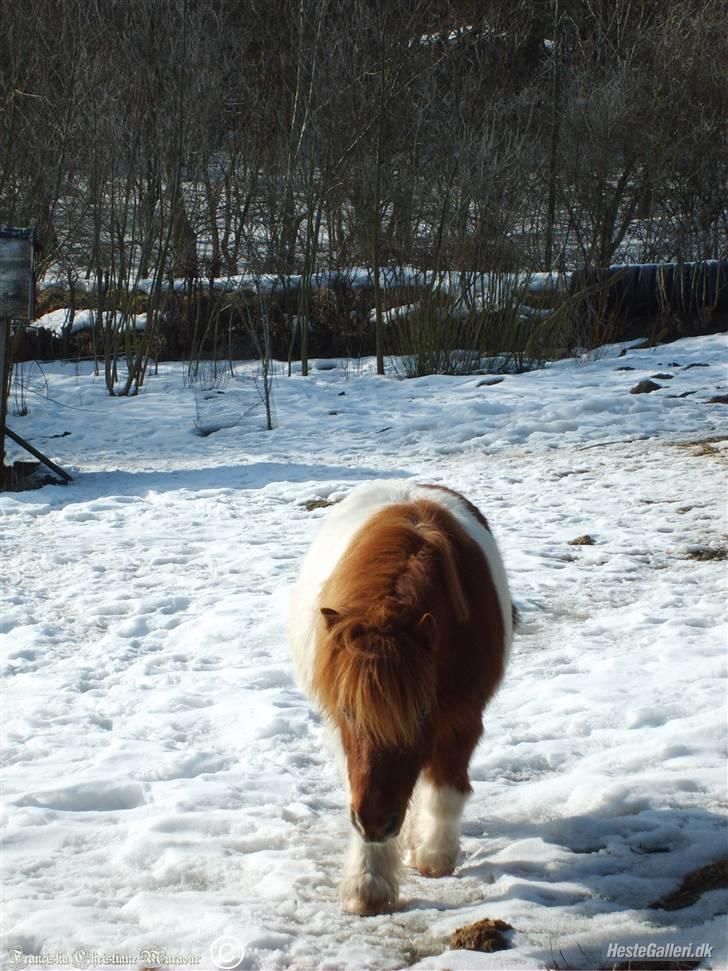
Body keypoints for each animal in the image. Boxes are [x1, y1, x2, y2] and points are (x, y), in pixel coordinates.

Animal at [290, 482, 512, 916]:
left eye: (423, 711)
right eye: (348, 711)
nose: (377, 824)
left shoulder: (462, 719)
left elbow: (445, 792)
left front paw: (434, 857)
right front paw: (368, 883)